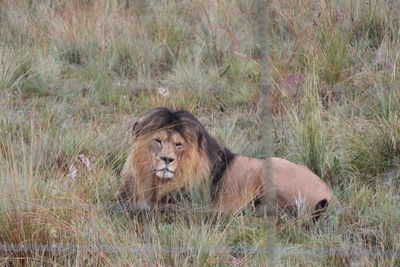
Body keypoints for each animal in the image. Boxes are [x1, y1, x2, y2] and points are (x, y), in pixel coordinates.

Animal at [119, 108, 334, 219]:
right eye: (158, 140)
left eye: (178, 144)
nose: (167, 159)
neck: (156, 182)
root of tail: (330, 193)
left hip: (271, 166)